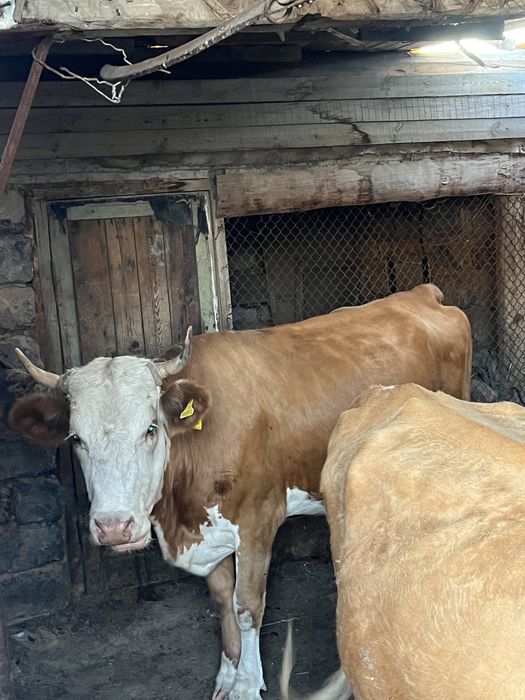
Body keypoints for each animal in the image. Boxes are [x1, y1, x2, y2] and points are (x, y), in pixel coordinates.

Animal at [9, 285, 471, 700]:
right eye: (76, 439)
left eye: (150, 429)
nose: (114, 527)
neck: (179, 518)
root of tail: (422, 294)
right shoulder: (207, 527)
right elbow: (221, 602)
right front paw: (227, 677)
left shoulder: (258, 520)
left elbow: (247, 606)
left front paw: (248, 685)